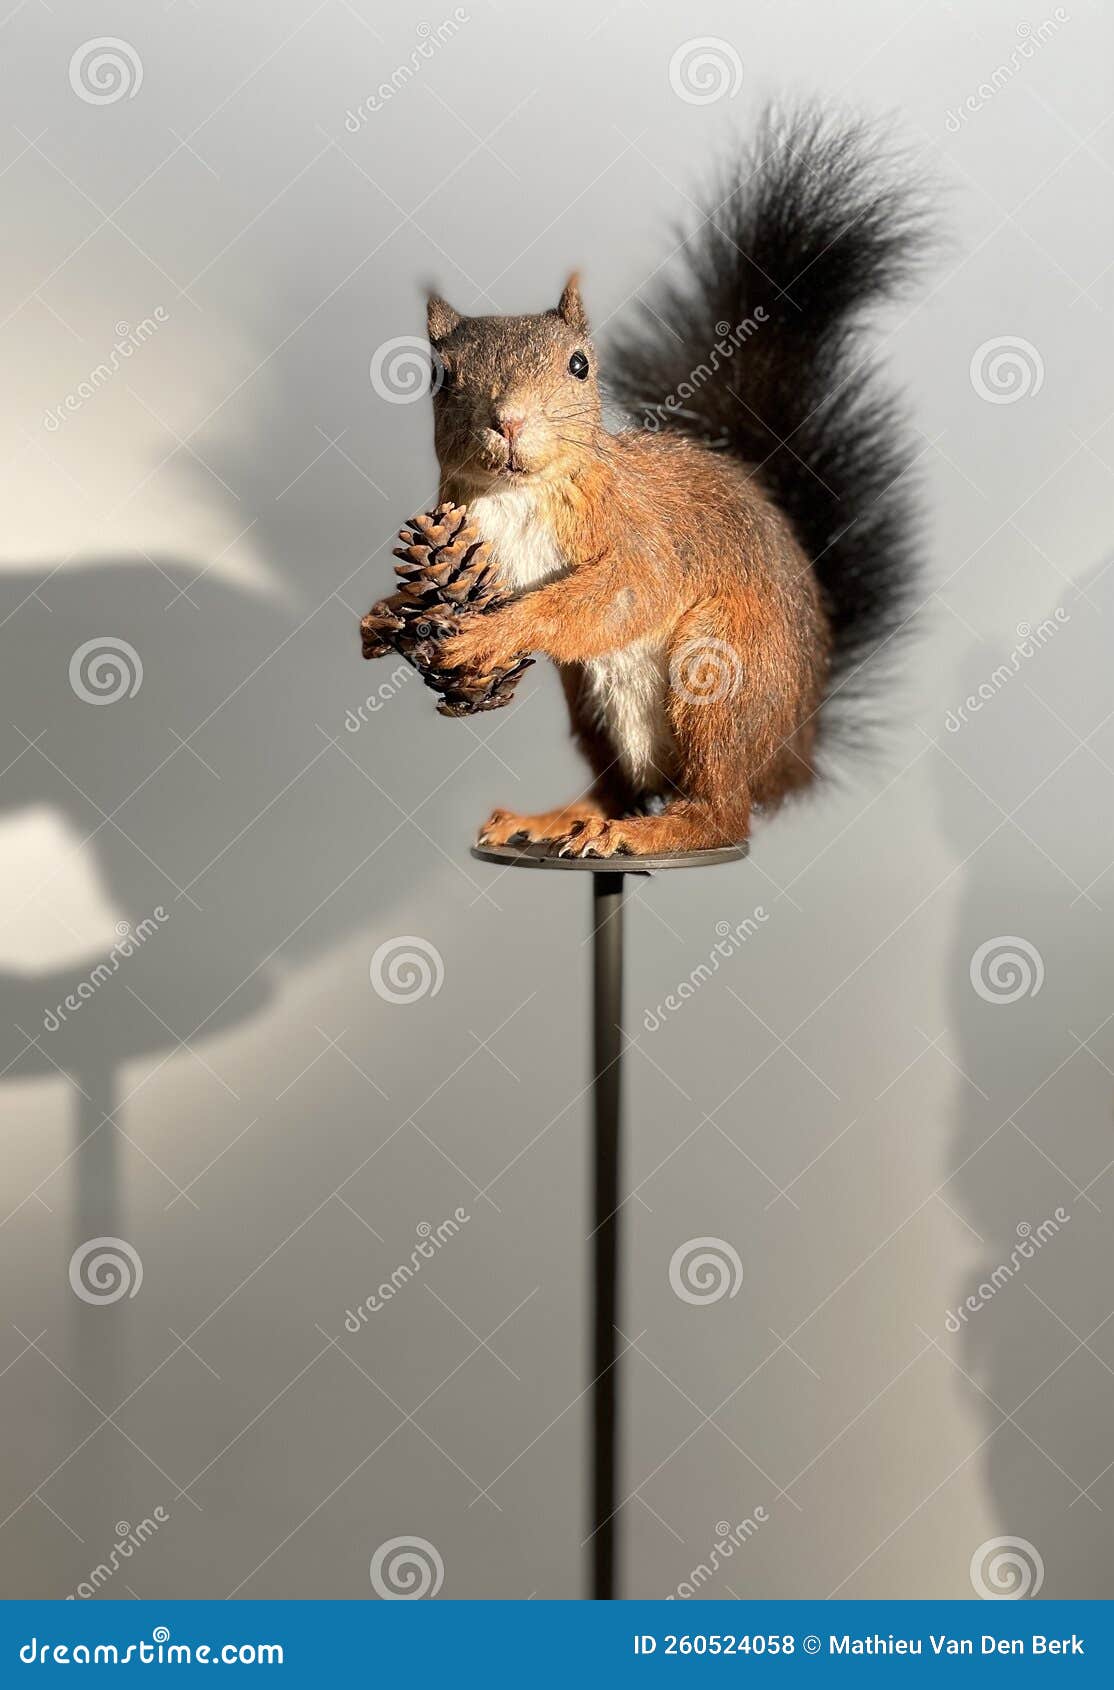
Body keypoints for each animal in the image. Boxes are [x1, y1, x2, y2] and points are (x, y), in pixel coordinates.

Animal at [365, 106, 930, 858]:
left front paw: (491, 635)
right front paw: (385, 615)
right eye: (441, 376)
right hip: (590, 699)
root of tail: (794, 755)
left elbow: (628, 587)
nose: (508, 421)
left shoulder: (638, 531)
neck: (515, 495)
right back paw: (561, 818)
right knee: (620, 786)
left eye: (579, 365)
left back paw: (653, 831)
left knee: (722, 811)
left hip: (721, 671)